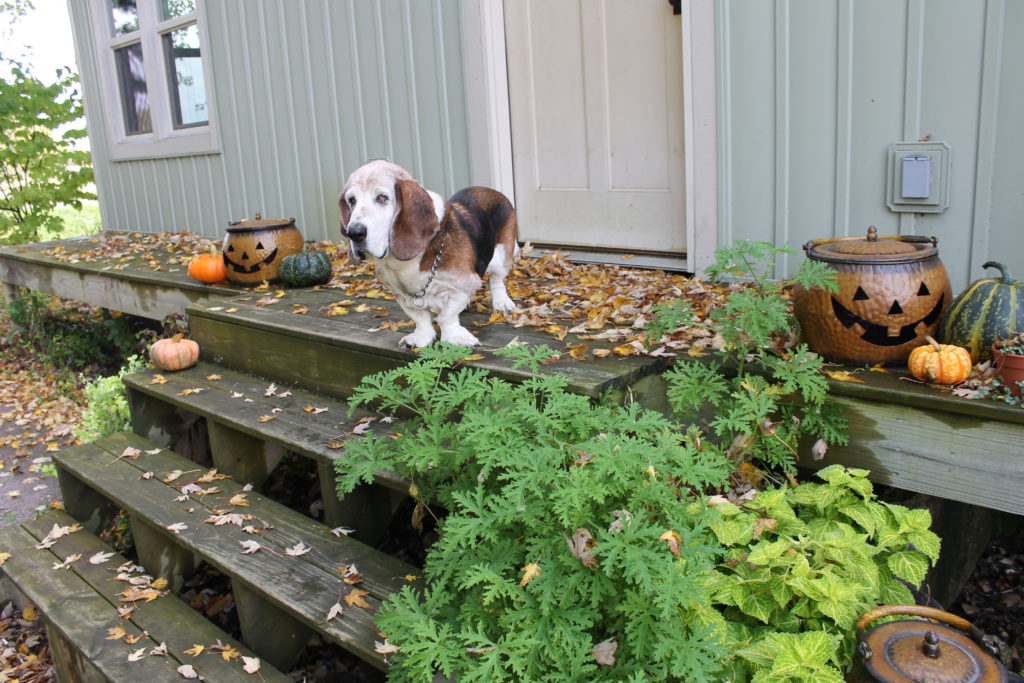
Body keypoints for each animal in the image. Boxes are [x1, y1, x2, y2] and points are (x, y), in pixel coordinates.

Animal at [342, 159, 520, 348]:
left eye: (382, 197)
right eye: (351, 200)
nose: (354, 233)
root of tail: (490, 190)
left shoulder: (461, 286)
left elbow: (446, 317)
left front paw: (456, 338)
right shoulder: (402, 295)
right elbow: (420, 318)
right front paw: (421, 337)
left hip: (502, 256)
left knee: (496, 280)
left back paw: (502, 302)